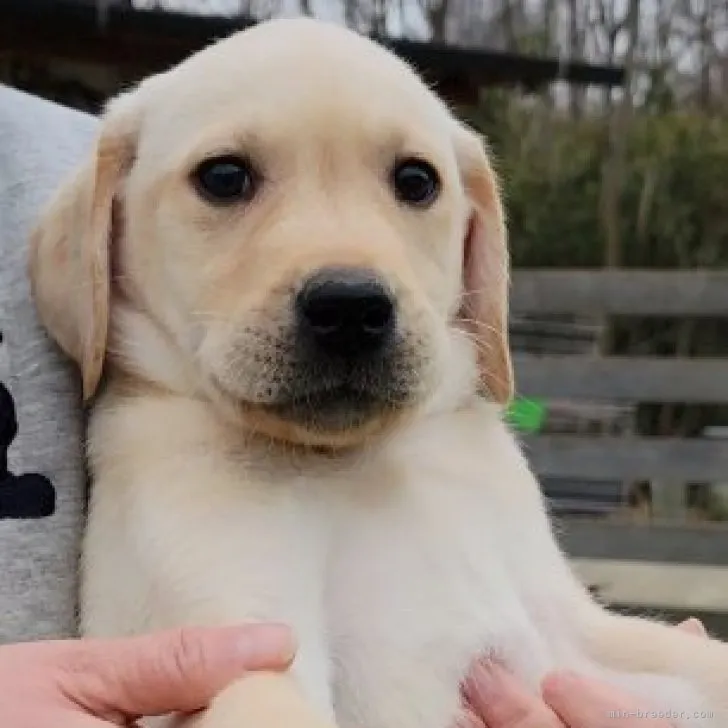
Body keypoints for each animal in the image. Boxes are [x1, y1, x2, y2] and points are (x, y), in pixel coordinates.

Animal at [31, 15, 728, 728]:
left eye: (416, 181)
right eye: (223, 177)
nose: (349, 308)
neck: (350, 465)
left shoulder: (571, 627)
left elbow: (700, 660)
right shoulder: (236, 630)